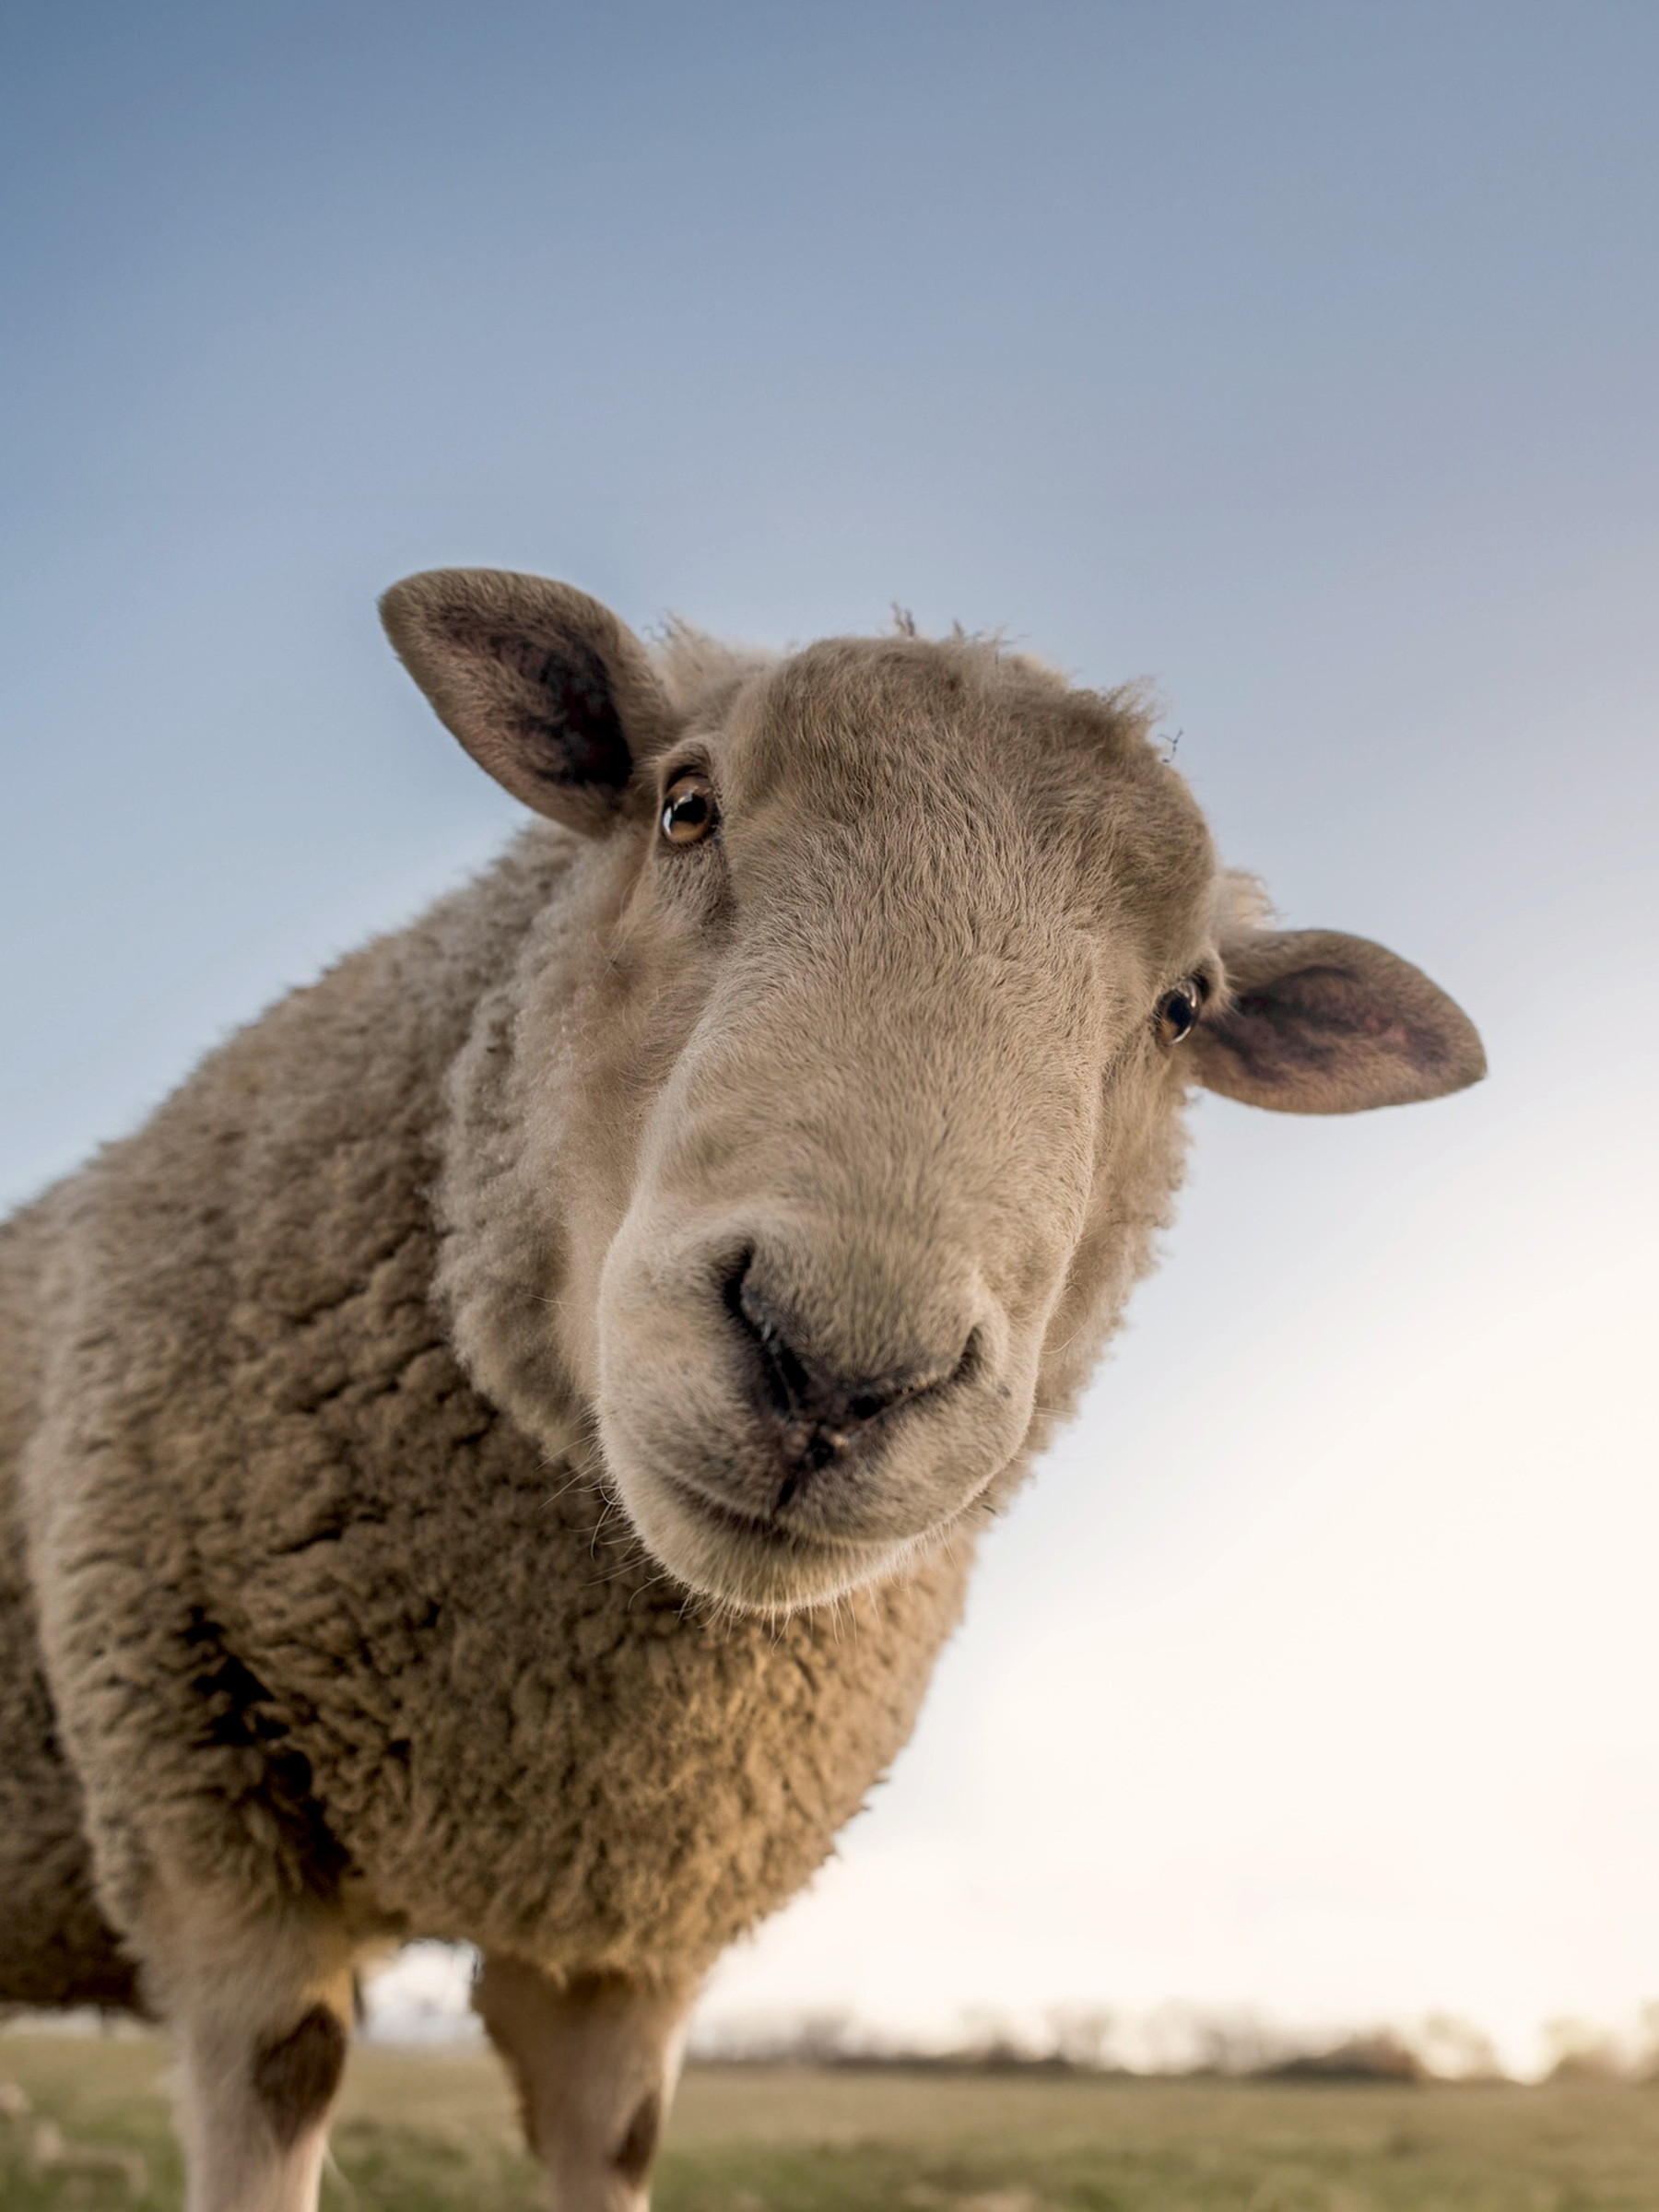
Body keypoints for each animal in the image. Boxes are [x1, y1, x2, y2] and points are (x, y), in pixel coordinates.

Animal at [0, 568, 1485, 2212]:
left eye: (1183, 1007)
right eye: (683, 806)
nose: (834, 1365)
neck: (533, 1720)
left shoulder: (634, 1931)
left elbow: (616, 2145)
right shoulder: (212, 1826)